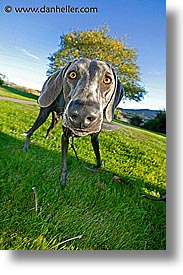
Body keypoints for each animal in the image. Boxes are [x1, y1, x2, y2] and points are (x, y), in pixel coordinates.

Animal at [22, 58, 123, 188]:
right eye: (72, 74)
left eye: (107, 80)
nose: (82, 115)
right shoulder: (65, 136)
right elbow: (64, 162)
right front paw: (63, 181)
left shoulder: (95, 138)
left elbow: (98, 157)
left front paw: (97, 166)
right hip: (44, 113)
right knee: (31, 131)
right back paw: (26, 147)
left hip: (57, 118)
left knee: (49, 128)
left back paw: (47, 138)